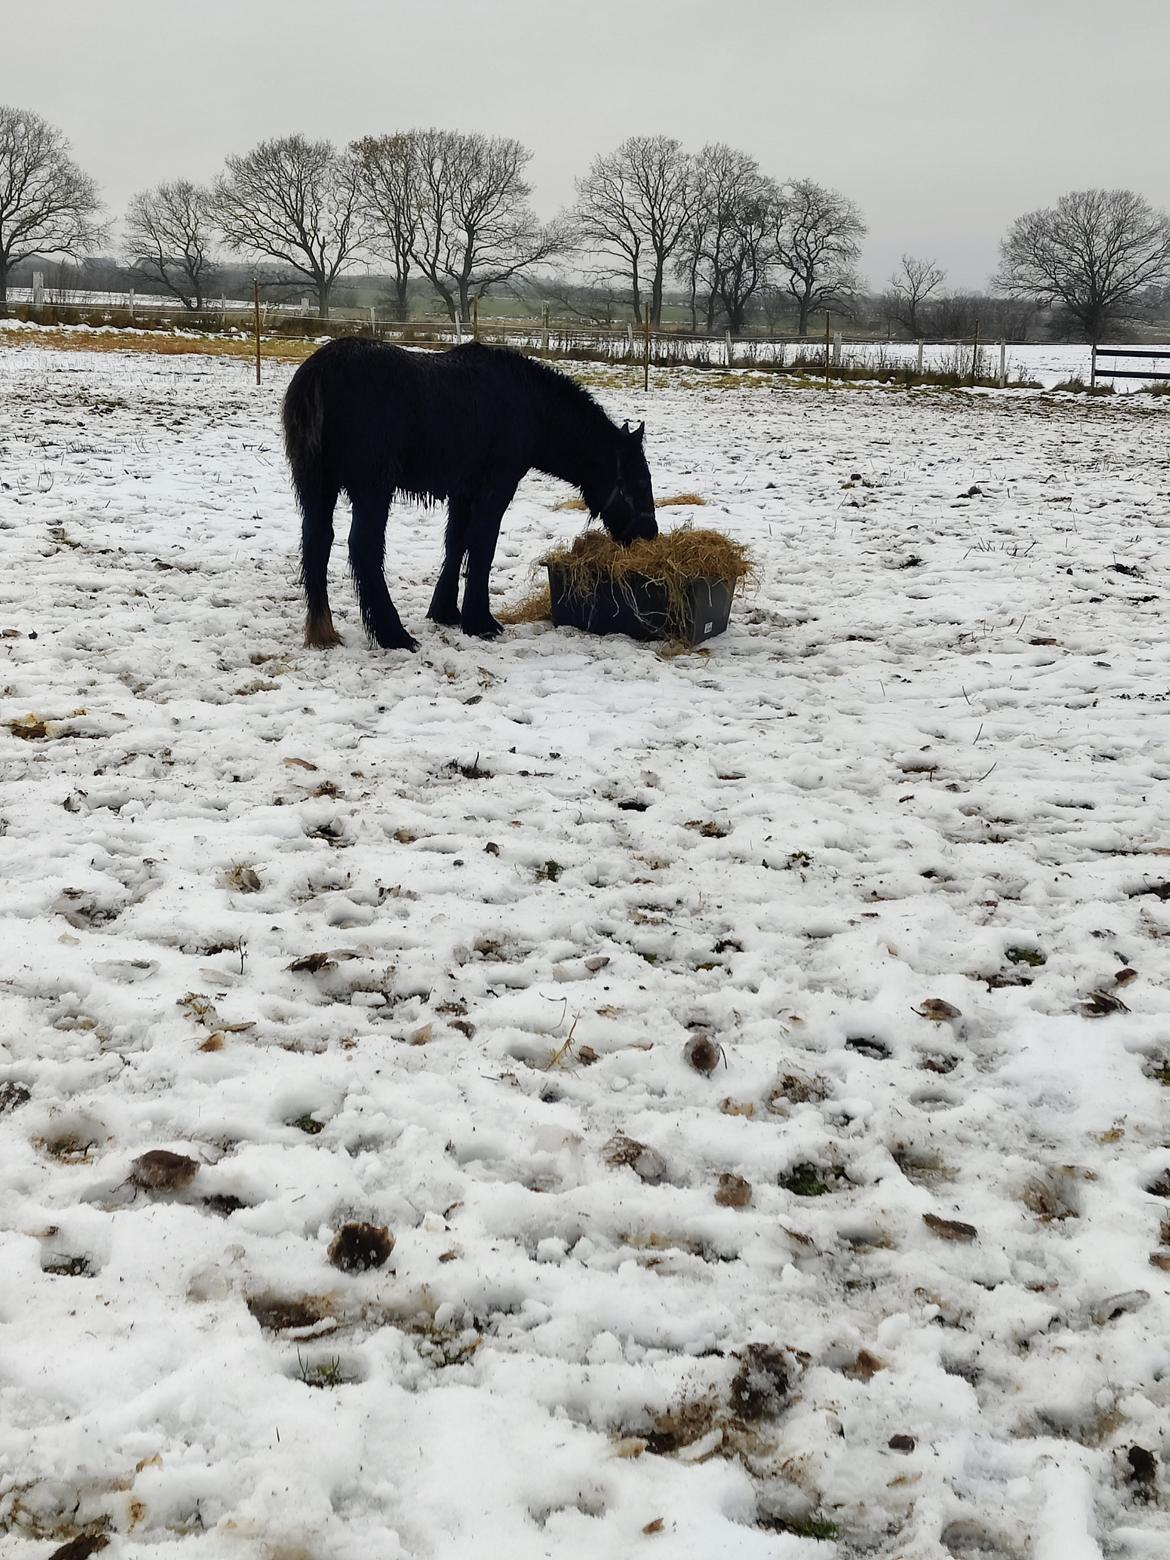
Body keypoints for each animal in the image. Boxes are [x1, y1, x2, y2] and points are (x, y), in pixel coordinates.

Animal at [279, 338, 655, 648]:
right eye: (639, 483)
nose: (649, 534)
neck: (531, 405)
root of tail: (319, 373)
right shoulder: (495, 490)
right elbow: (481, 549)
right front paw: (480, 621)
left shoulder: (462, 493)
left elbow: (456, 544)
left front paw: (445, 611)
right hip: (372, 490)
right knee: (364, 549)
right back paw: (393, 634)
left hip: (317, 488)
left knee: (317, 542)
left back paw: (322, 631)